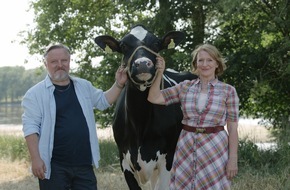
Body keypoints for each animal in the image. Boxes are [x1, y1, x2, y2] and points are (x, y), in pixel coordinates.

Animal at [95, 24, 197, 189]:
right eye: (124, 45)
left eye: (155, 43)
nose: (142, 64)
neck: (140, 124)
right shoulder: (124, 159)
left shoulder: (168, 158)